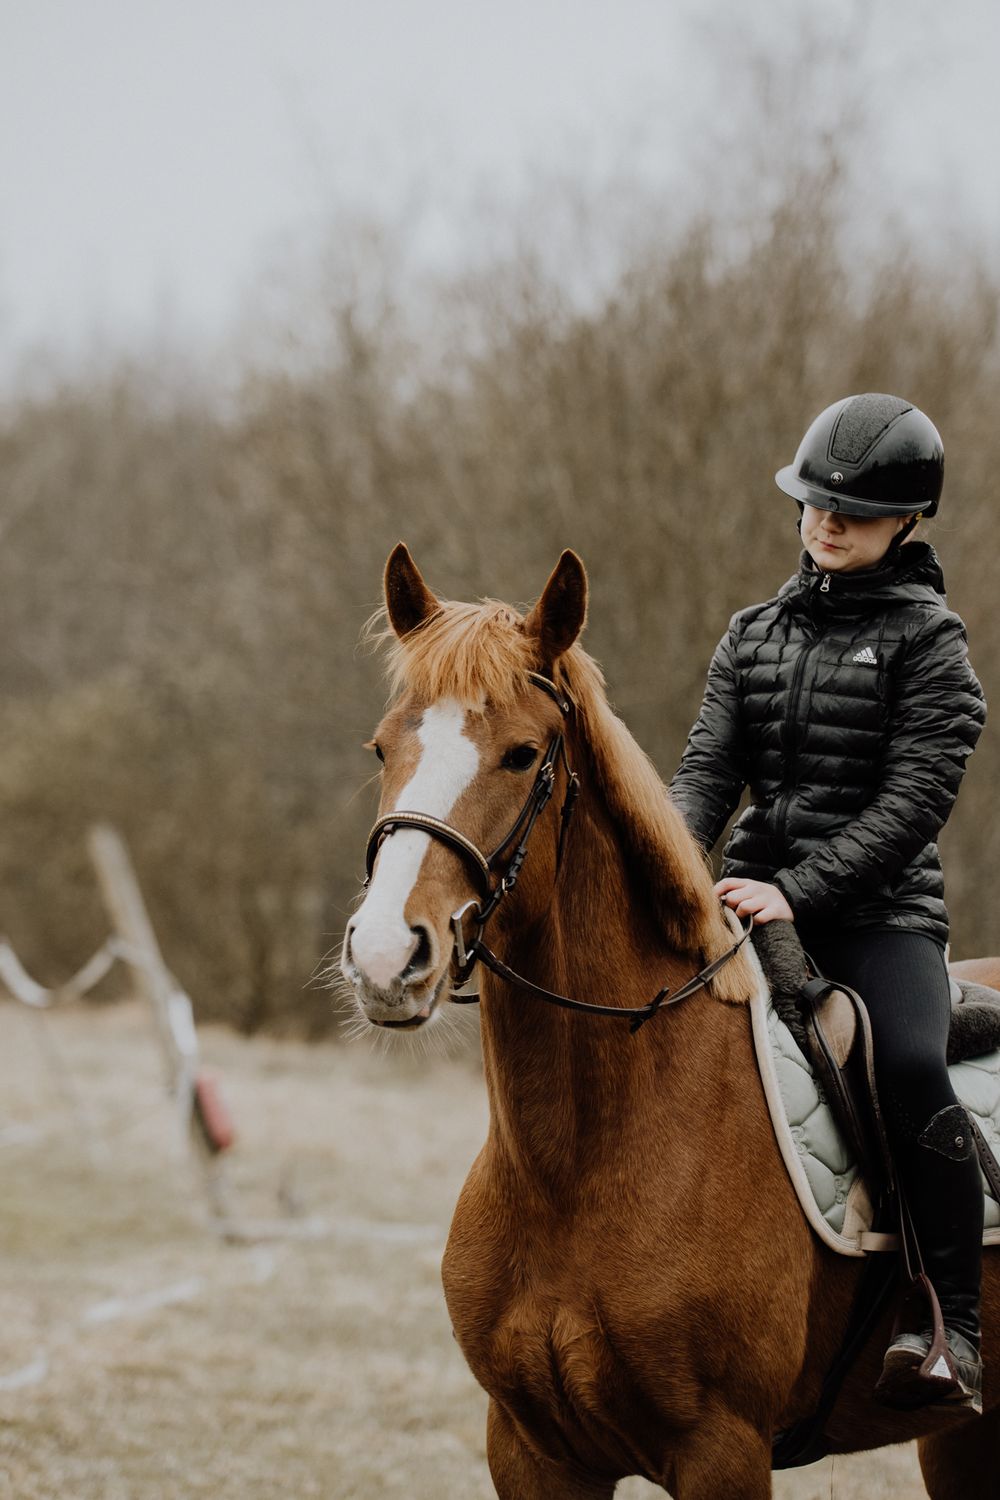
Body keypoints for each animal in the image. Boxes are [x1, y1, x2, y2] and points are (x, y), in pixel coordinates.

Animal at [340, 543, 999, 1499]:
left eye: (522, 755)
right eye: (384, 746)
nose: (388, 956)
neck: (578, 1166)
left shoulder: (721, 1450)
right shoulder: (531, 1450)